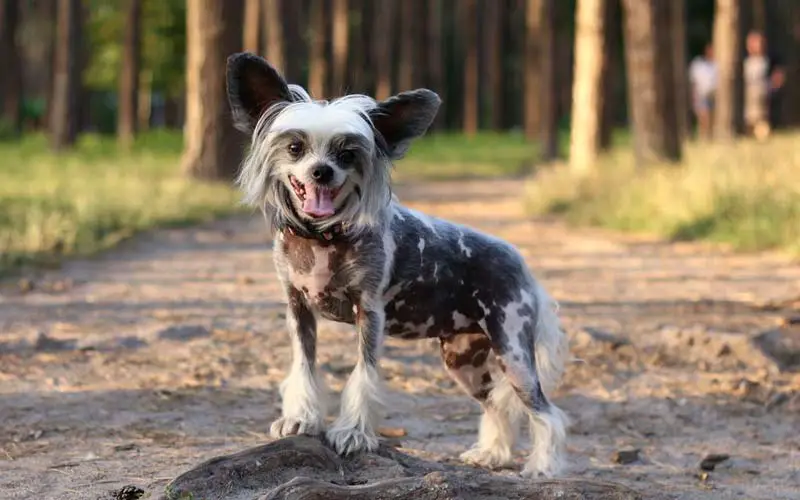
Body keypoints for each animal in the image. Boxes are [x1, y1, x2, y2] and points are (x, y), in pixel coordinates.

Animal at [225, 52, 568, 478]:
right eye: (294, 147)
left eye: (348, 154)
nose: (322, 171)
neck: (323, 237)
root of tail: (522, 264)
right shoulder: (298, 309)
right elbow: (304, 368)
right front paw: (300, 419)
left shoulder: (370, 313)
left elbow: (363, 376)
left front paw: (353, 434)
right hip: (464, 361)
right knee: (495, 407)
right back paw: (492, 454)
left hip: (514, 353)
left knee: (546, 412)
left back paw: (543, 467)